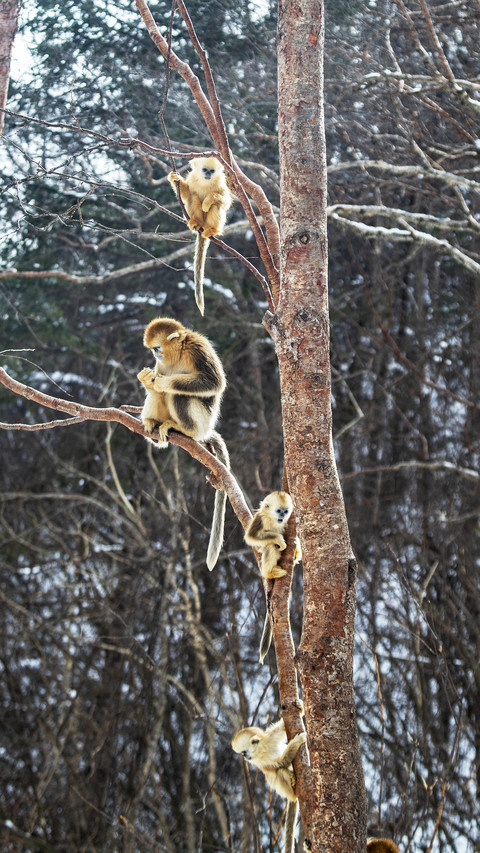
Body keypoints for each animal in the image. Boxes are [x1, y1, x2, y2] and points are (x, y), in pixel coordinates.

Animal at [137, 317, 229, 569]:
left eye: (157, 348)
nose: (156, 356)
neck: (178, 353)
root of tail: (204, 432)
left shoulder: (198, 349)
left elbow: (213, 383)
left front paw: (162, 382)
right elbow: (154, 384)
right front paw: (147, 380)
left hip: (202, 420)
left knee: (179, 394)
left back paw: (181, 428)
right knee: (158, 396)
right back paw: (152, 425)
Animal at [168, 156, 232, 315]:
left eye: (212, 171)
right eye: (204, 170)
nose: (208, 175)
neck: (205, 182)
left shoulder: (221, 182)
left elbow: (225, 202)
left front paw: (208, 201)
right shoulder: (192, 178)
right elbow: (186, 194)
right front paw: (175, 179)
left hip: (210, 223)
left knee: (217, 205)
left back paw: (212, 230)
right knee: (193, 197)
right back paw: (195, 223)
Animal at [232, 712, 306, 853]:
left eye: (244, 752)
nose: (245, 757)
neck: (262, 749)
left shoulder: (269, 738)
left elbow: (280, 728)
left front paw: (300, 708)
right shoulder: (261, 763)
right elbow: (281, 763)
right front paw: (297, 741)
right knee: (280, 771)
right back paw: (293, 784)